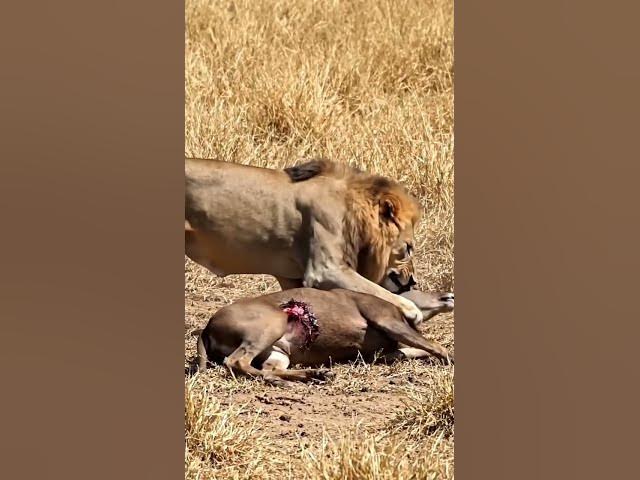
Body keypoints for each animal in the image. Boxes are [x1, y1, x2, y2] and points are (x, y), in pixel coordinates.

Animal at [185, 157, 423, 324]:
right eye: (408, 248)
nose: (413, 281)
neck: (351, 207)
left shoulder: (292, 277)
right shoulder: (325, 270)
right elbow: (377, 290)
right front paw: (412, 310)